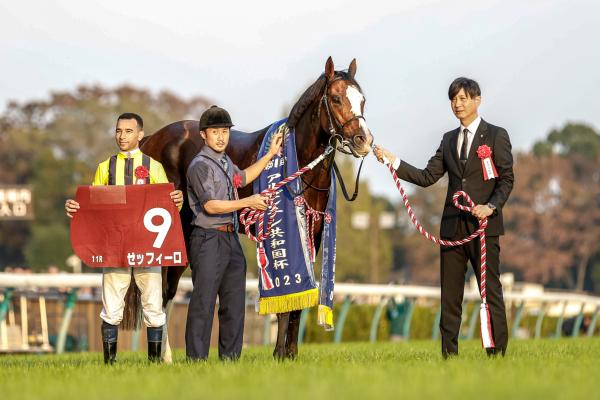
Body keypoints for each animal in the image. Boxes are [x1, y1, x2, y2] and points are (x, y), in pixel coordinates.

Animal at [124, 57, 372, 362]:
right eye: (336, 98)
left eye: (362, 100)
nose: (364, 140)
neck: (299, 167)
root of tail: (150, 141)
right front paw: (279, 353)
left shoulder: (312, 237)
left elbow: (299, 299)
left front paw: (291, 354)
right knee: (163, 290)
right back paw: (163, 356)